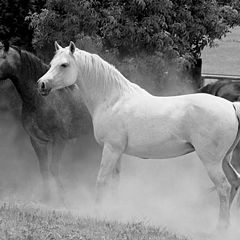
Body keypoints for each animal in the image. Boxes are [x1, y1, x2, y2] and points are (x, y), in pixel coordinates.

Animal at [0, 41, 92, 202]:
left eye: (1, 57)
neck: (42, 100)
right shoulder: (37, 140)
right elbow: (43, 169)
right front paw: (47, 198)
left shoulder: (60, 141)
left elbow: (54, 168)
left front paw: (62, 199)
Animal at [37, 41, 240, 231]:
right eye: (51, 63)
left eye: (64, 65)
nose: (41, 84)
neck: (113, 99)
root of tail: (231, 106)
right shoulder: (117, 152)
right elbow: (114, 183)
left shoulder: (111, 149)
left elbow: (101, 180)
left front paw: (97, 212)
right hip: (224, 160)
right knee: (234, 182)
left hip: (211, 162)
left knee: (224, 187)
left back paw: (220, 227)